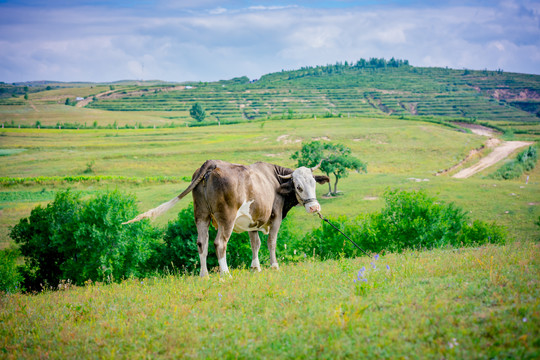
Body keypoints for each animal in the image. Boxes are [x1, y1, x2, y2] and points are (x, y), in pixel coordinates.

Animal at [124, 160, 332, 276]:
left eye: (314, 183)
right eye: (298, 186)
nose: (314, 207)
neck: (275, 180)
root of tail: (212, 163)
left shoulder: (253, 220)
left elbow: (255, 243)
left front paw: (255, 267)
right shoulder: (276, 217)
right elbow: (271, 242)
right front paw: (274, 266)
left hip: (201, 215)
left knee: (202, 243)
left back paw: (204, 274)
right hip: (226, 217)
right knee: (219, 243)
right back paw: (225, 273)